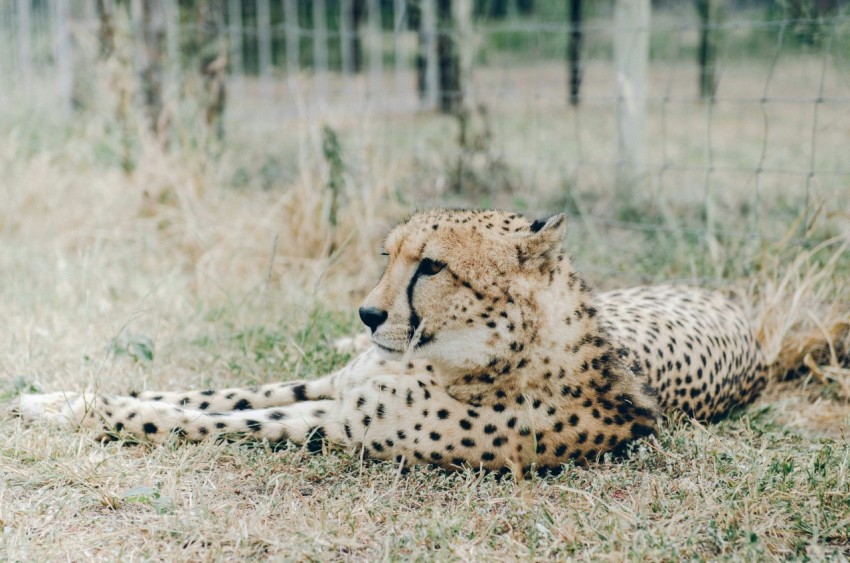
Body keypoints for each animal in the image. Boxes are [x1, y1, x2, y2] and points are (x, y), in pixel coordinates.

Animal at [13, 209, 800, 474]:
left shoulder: (340, 425)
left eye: (432, 266)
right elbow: (204, 393)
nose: (367, 312)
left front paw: (83, 413)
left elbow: (192, 419)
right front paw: (59, 396)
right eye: (390, 254)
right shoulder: (334, 387)